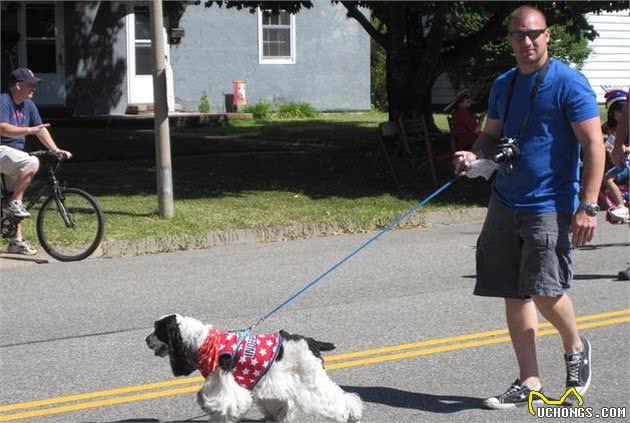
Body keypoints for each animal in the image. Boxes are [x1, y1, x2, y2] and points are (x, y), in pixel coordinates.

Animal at [146, 314, 362, 422]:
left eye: (157, 330)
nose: (146, 340)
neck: (202, 342)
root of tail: (311, 341)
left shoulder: (225, 385)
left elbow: (218, 403)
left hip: (311, 380)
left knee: (340, 400)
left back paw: (352, 415)